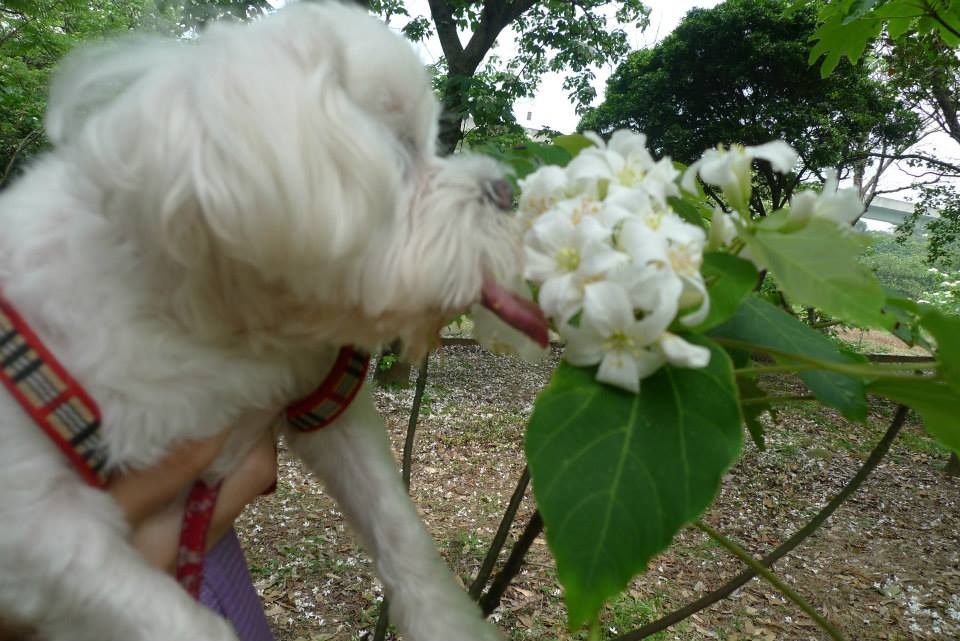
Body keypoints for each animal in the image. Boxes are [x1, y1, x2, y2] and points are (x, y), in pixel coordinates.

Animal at [0, 3, 548, 640]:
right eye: (396, 148)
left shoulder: (323, 401)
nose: (507, 190)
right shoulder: (35, 529)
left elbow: (400, 531)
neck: (212, 326)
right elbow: (179, 621)